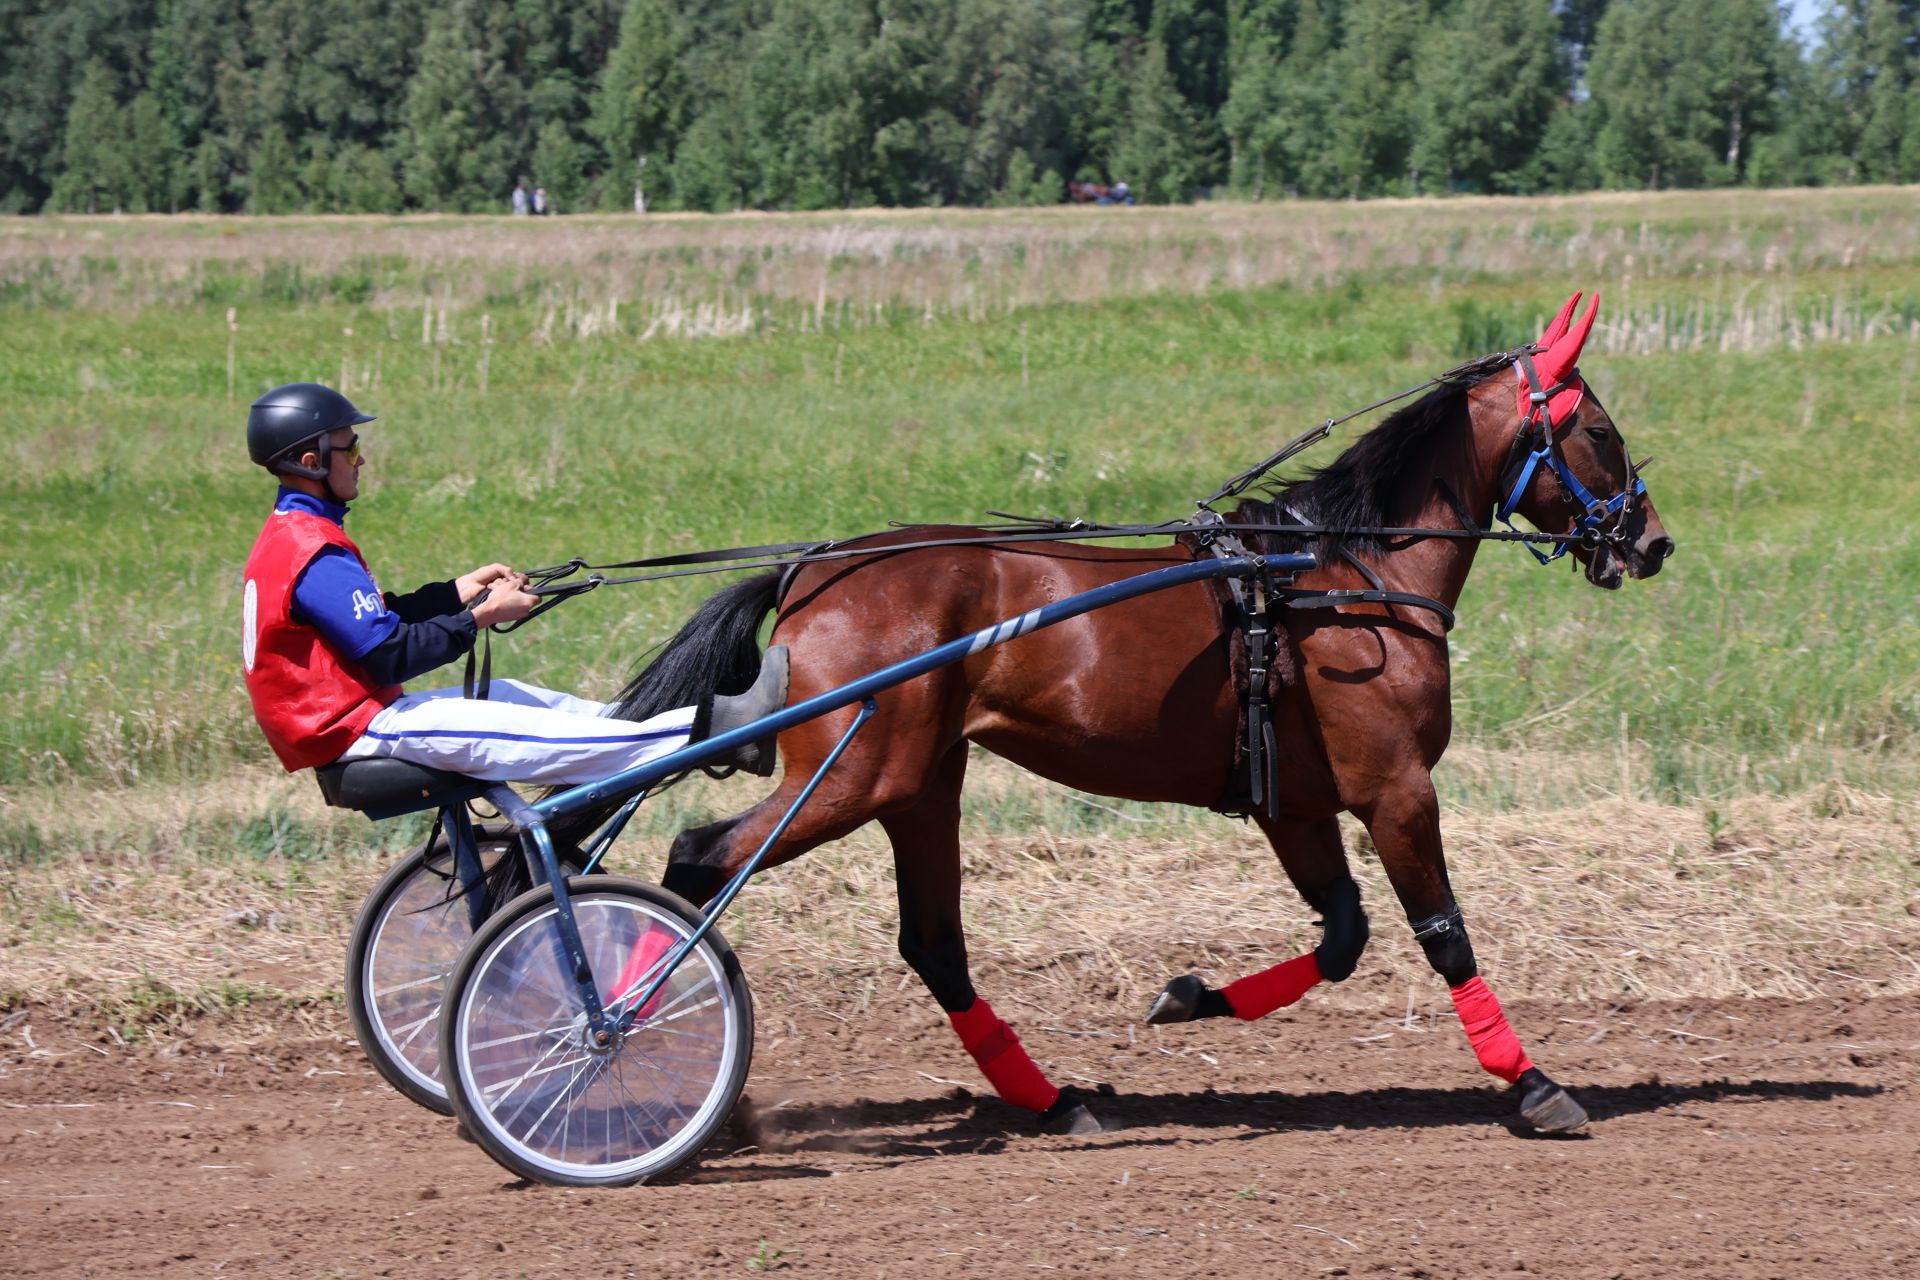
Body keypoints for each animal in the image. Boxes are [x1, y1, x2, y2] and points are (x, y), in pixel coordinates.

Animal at [568, 295, 1666, 1136]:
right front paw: (1534, 1084)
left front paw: (1188, 997)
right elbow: (1443, 934)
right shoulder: (1394, 786)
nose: (1652, 541)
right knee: (701, 861)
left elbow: (1344, 935)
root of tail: (813, 572)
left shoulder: (1296, 800)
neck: (1339, 581)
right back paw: (625, 1034)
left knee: (934, 944)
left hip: (917, 783)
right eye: (1601, 432)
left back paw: (1054, 1102)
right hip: (851, 774)